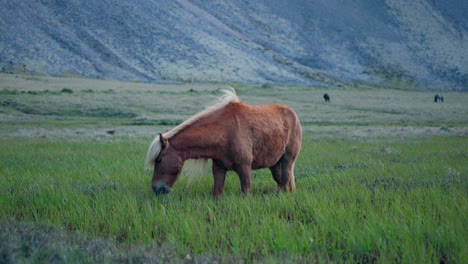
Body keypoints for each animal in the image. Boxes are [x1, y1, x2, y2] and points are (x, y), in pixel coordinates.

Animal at [144, 89, 302, 198]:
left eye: (158, 160)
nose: (156, 189)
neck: (226, 133)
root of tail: (293, 114)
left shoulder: (244, 169)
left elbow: (246, 193)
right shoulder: (219, 170)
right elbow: (217, 194)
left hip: (287, 160)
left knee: (285, 181)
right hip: (274, 164)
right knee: (281, 181)